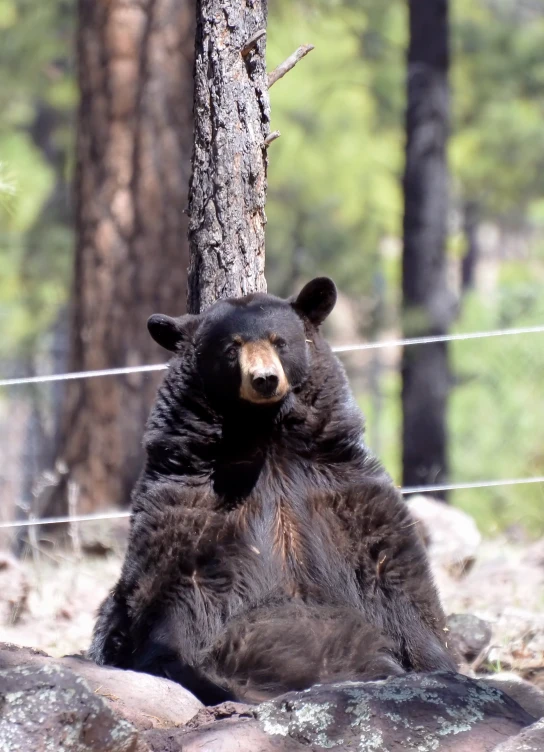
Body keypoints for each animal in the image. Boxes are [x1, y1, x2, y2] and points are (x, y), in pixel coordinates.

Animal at [89, 278, 454, 704]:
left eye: (280, 341)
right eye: (231, 347)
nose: (264, 379)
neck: (266, 436)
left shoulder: (341, 486)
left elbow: (394, 571)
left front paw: (438, 665)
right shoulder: (191, 495)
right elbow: (173, 584)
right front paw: (178, 666)